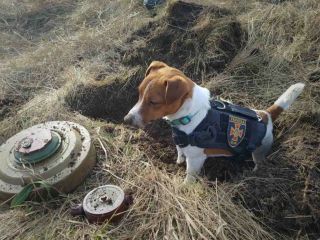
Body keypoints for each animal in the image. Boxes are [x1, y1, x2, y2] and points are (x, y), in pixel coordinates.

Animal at [124, 61, 304, 183]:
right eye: (139, 93)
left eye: (153, 102)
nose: (126, 119)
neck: (190, 114)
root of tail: (266, 114)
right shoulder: (180, 142)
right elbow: (180, 151)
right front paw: (178, 161)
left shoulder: (195, 160)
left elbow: (189, 176)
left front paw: (184, 186)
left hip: (259, 151)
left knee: (259, 162)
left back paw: (254, 173)